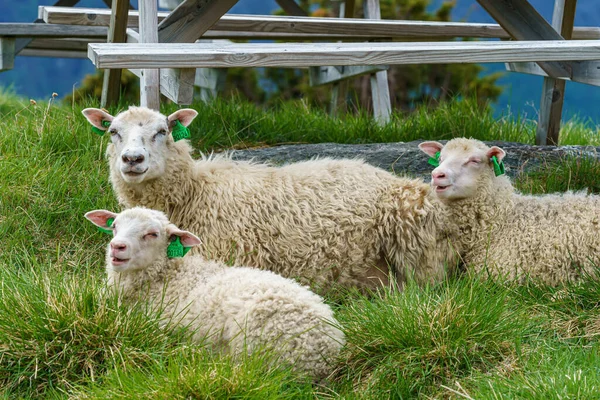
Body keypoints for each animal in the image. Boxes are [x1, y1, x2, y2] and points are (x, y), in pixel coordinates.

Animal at [85, 208, 346, 380]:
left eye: (152, 234)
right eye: (115, 226)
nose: (117, 247)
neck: (165, 276)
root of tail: (329, 348)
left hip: (257, 345)